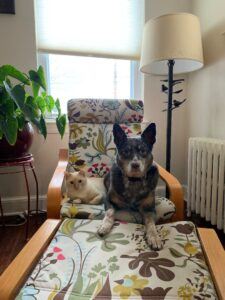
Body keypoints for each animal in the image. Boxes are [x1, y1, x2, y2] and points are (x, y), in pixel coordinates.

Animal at [96, 122, 162, 251]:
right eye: (126, 151)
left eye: (143, 151)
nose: (135, 165)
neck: (133, 181)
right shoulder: (109, 200)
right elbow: (110, 213)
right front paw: (104, 226)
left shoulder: (149, 208)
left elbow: (150, 222)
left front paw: (154, 237)